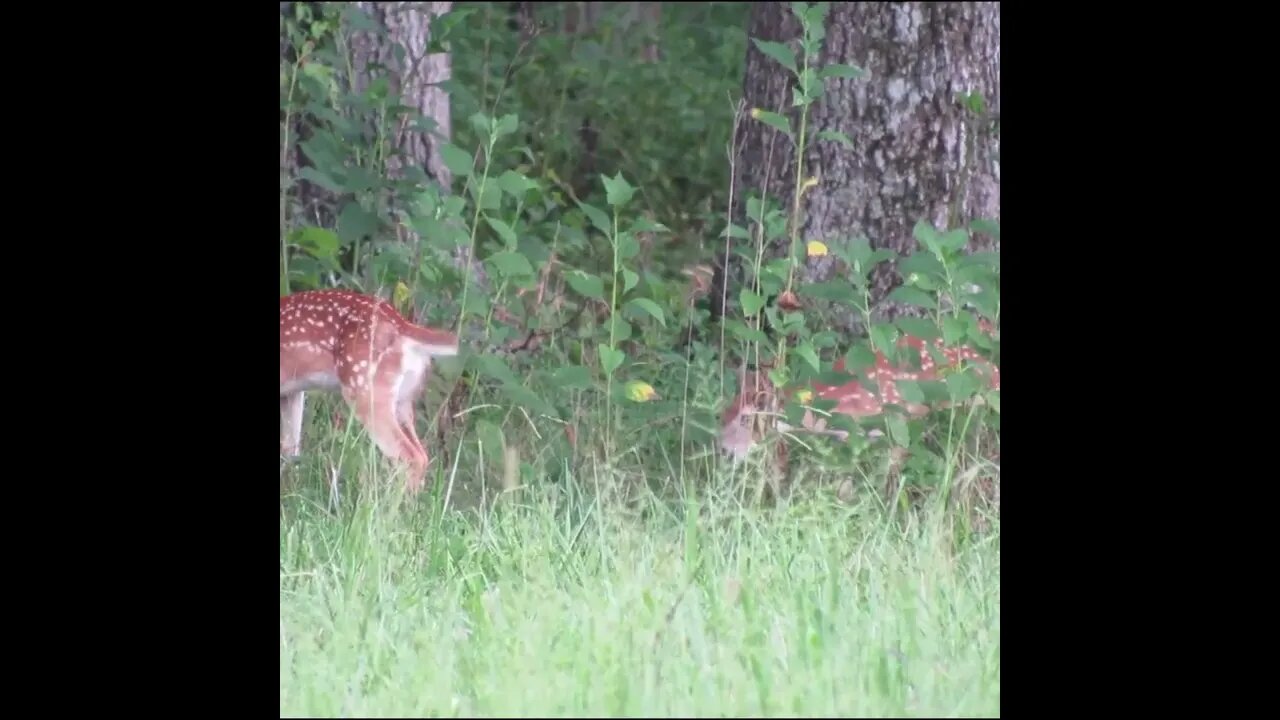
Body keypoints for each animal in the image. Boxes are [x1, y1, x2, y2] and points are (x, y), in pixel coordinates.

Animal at [280, 288, 459, 493]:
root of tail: (401, 325)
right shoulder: (292, 392)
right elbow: (290, 447)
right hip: (403, 399)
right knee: (422, 454)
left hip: (365, 389)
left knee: (409, 455)